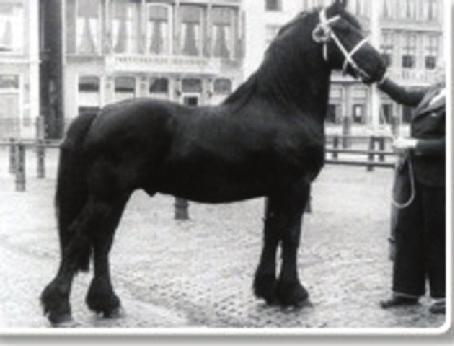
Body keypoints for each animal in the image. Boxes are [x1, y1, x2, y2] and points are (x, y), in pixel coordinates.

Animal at [40, 0, 384, 326]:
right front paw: (294, 293)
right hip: (108, 194)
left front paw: (267, 290)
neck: (281, 106)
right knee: (81, 235)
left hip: (115, 196)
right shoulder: (295, 187)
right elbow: (291, 235)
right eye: (345, 30)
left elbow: (271, 232)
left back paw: (106, 303)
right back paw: (59, 308)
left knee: (102, 239)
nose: (381, 65)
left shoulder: (276, 190)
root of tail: (100, 113)